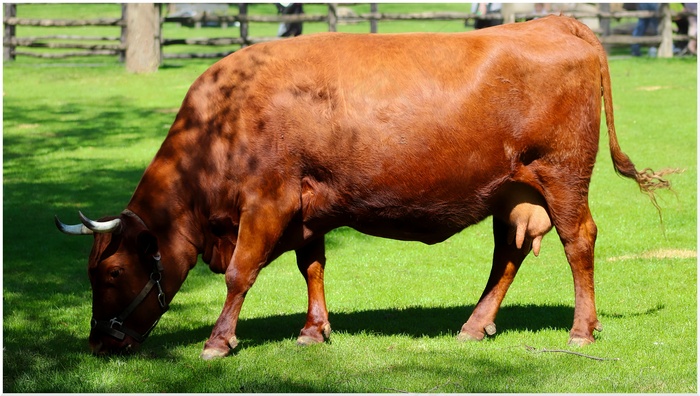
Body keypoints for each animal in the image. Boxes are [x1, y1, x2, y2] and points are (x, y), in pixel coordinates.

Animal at [53, 17, 672, 360]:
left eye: (111, 273)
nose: (98, 343)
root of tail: (555, 22)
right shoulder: (305, 206)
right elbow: (312, 266)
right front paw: (313, 331)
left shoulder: (268, 200)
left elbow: (240, 273)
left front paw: (217, 341)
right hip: (512, 192)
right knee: (508, 255)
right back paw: (474, 327)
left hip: (562, 177)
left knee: (579, 242)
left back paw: (581, 331)